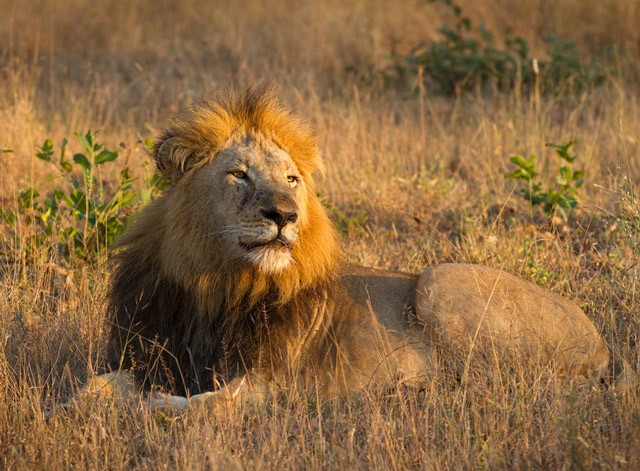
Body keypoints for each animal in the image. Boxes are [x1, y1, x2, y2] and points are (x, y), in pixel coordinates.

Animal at [94, 84, 619, 412]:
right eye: (238, 174)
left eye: (291, 179)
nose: (284, 215)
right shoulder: (144, 350)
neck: (217, 285)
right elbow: (96, 387)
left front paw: (149, 406)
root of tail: (600, 343)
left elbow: (195, 407)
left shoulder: (265, 384)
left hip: (440, 280)